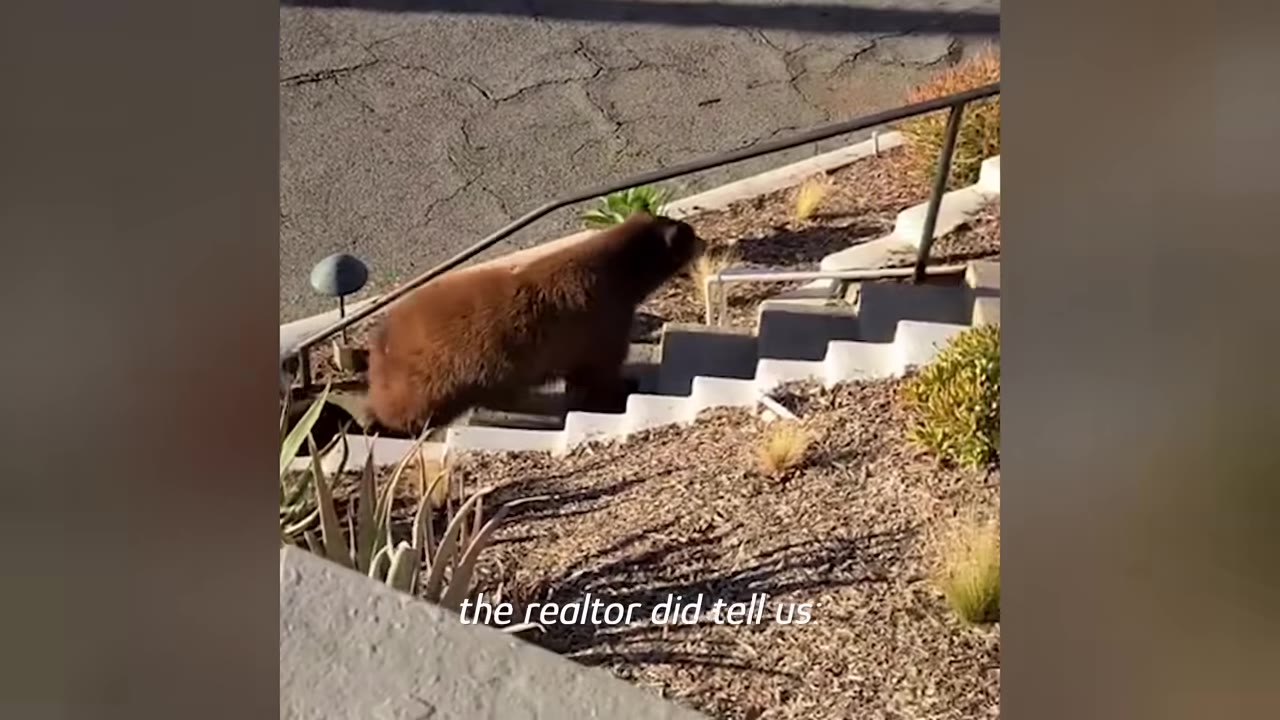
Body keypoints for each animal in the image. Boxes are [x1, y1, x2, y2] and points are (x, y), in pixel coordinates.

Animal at [365, 212, 706, 436]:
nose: (704, 240)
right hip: (429, 378)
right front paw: (621, 388)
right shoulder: (602, 317)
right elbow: (602, 367)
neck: (618, 271)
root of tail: (381, 340)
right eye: (690, 234)